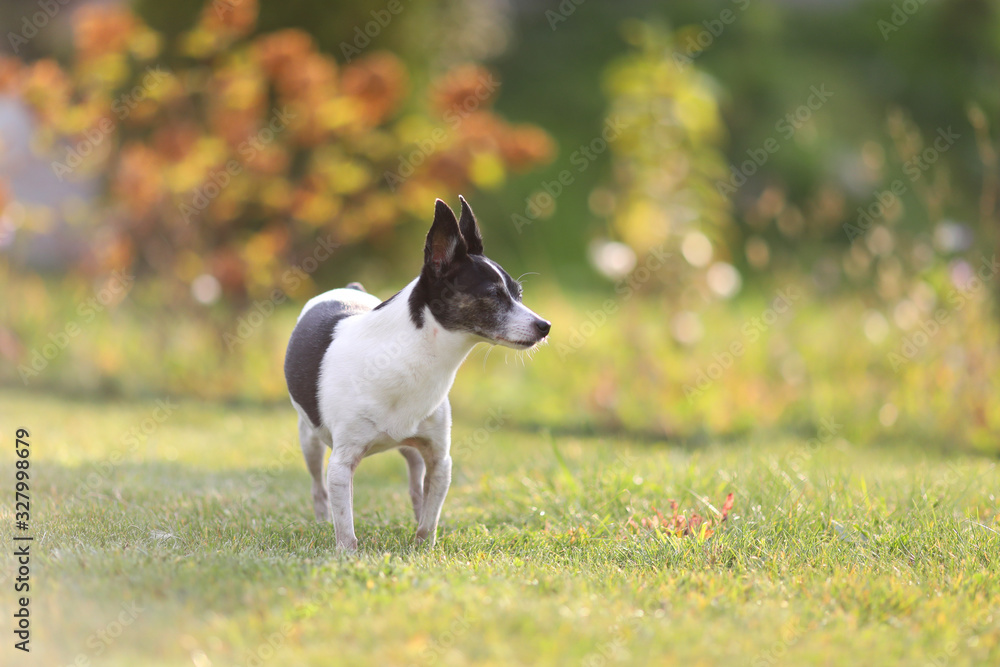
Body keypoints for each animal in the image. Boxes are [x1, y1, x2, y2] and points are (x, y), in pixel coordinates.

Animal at [282, 196, 552, 552]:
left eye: (519, 295)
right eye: (494, 295)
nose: (545, 326)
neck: (410, 357)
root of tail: (348, 287)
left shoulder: (439, 460)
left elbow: (430, 516)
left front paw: (423, 548)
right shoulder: (341, 464)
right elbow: (345, 522)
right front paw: (347, 553)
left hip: (412, 451)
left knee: (415, 487)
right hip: (309, 440)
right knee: (318, 488)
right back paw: (321, 521)